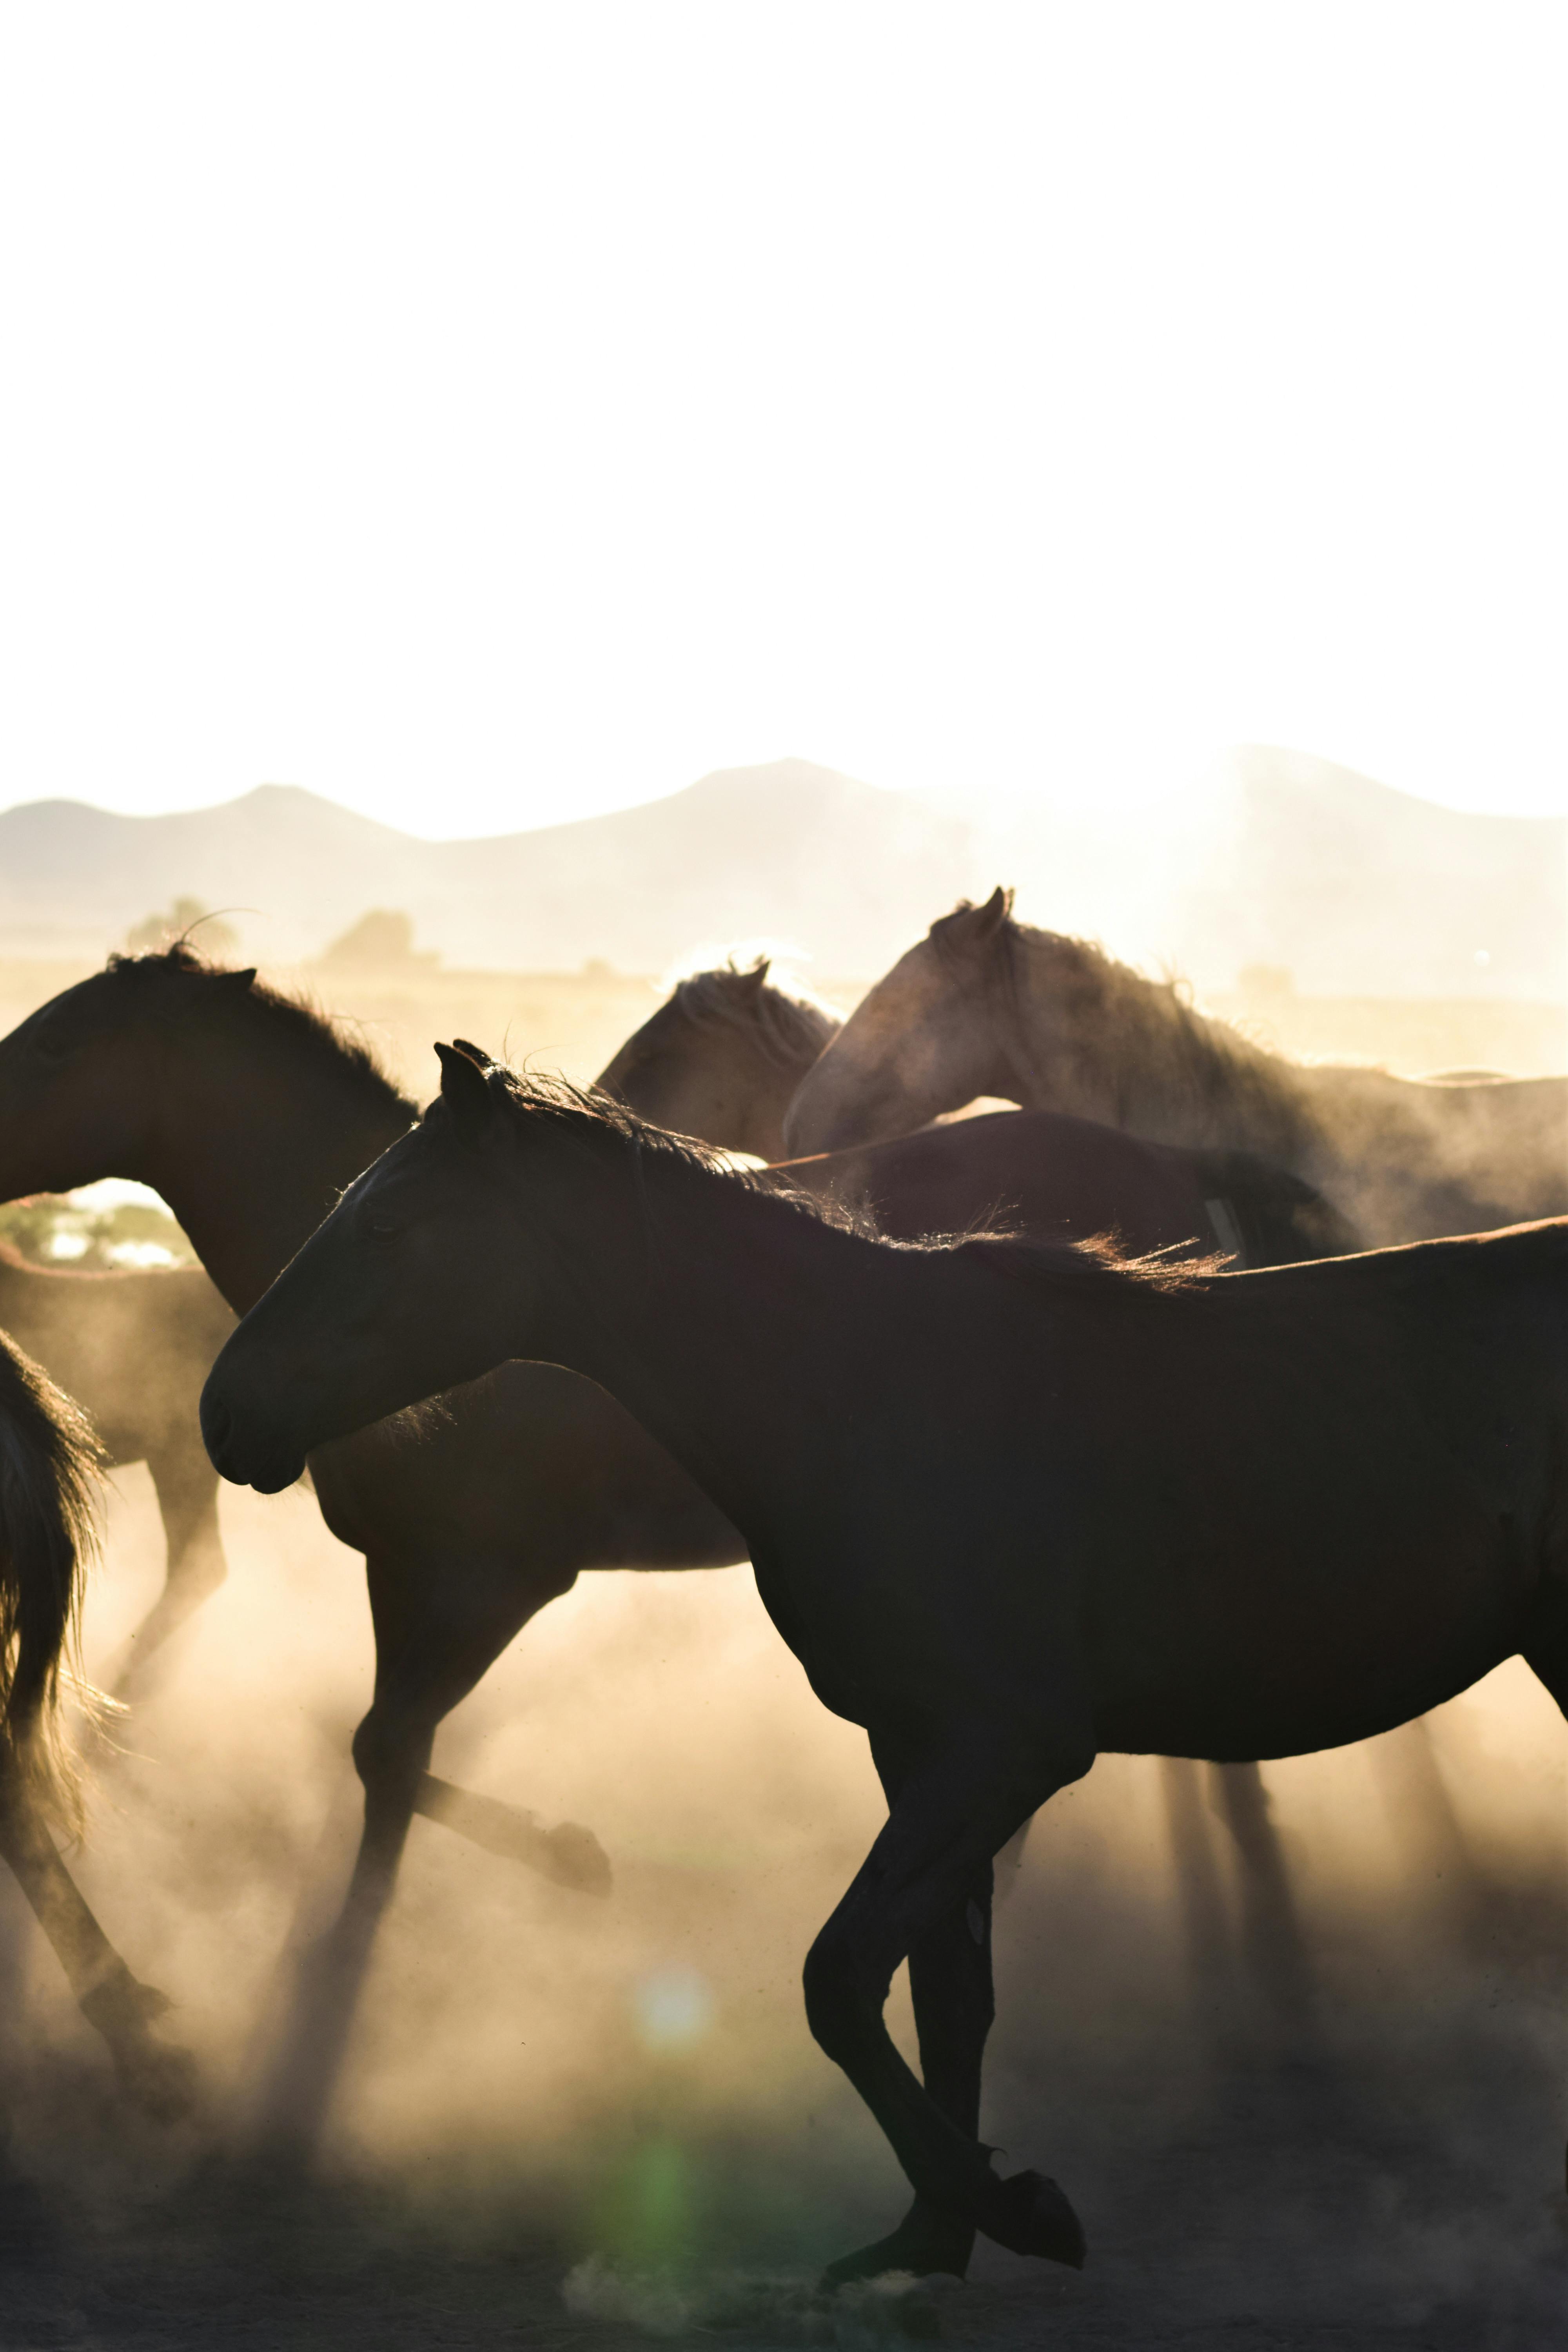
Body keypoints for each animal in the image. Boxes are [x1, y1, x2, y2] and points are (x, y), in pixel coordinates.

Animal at [200, 1042, 1568, 2285]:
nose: (226, 1412)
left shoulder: (1002, 1753)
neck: (864, 1389)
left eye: (388, 1219)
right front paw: (931, 2241)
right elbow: (943, 1995)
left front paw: (1015, 2209)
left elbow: (841, 1978)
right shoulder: (916, 1753)